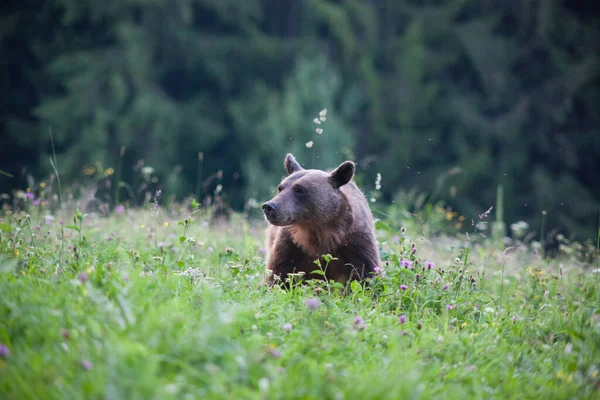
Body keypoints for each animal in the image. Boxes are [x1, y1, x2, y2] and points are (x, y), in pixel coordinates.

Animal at [262, 152, 380, 286]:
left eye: (299, 189)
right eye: (280, 188)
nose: (269, 206)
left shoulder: (355, 243)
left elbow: (365, 275)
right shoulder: (291, 245)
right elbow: (278, 274)